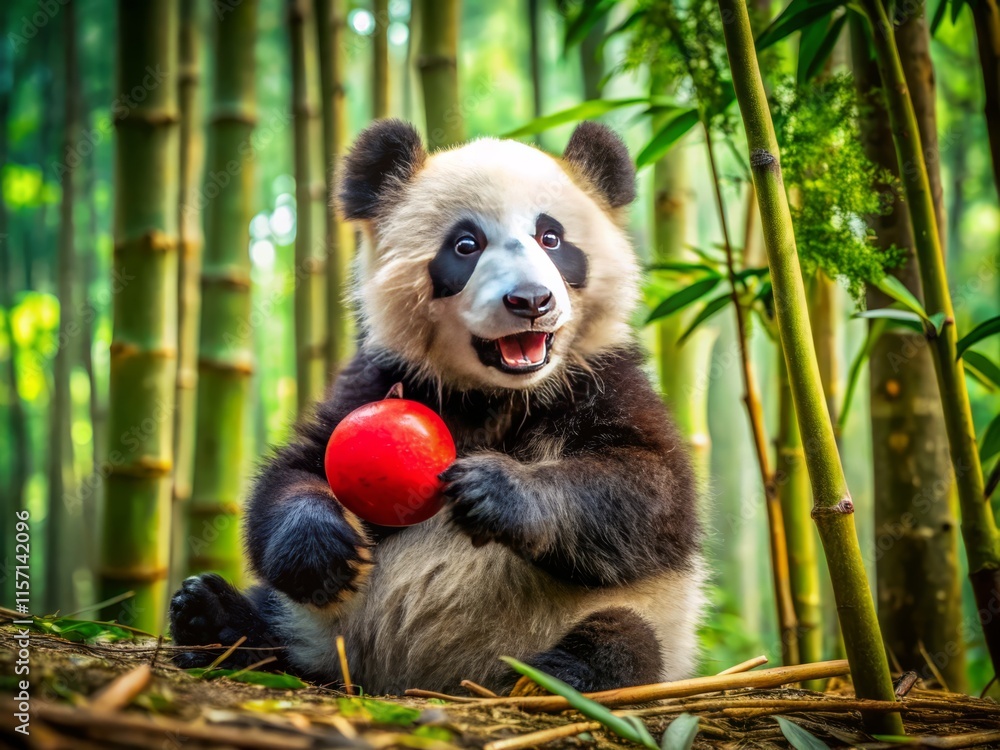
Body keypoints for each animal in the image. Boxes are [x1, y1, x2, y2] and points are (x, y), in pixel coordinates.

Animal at [169, 119, 705, 695]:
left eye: (552, 238)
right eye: (466, 245)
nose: (531, 300)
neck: (499, 392)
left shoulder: (605, 379)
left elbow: (653, 494)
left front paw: (495, 490)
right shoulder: (380, 380)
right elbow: (294, 473)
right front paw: (320, 546)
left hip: (648, 626)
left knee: (625, 641)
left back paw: (548, 677)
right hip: (321, 626)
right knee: (279, 623)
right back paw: (211, 617)